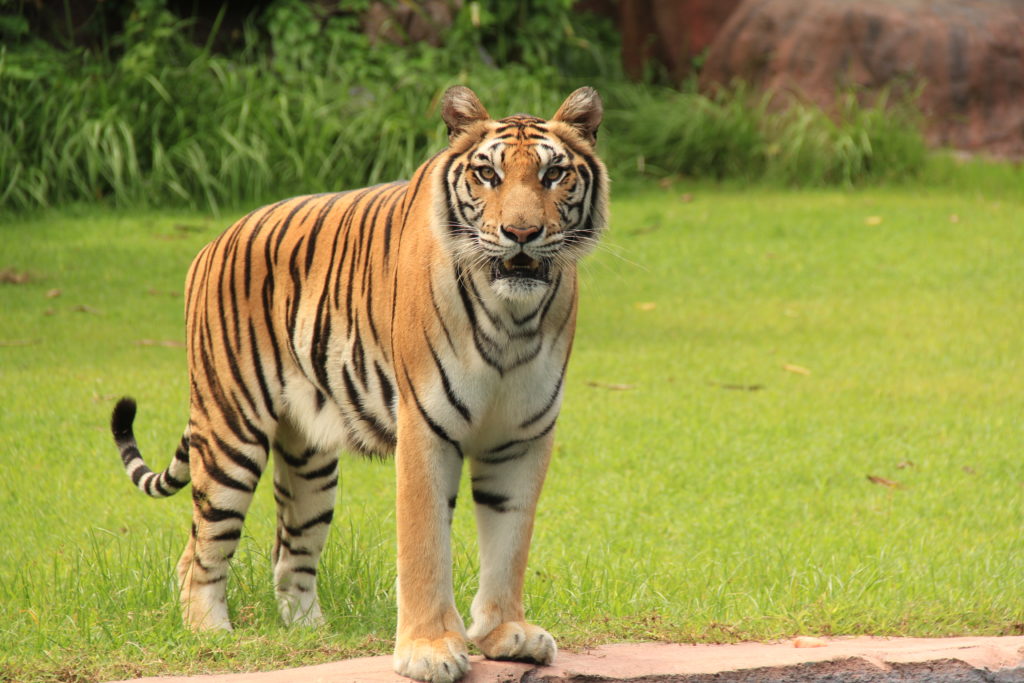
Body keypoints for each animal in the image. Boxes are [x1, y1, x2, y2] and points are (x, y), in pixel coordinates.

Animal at [110, 85, 608, 683]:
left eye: (554, 174)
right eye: (488, 174)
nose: (522, 234)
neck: (513, 317)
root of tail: (213, 243)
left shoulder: (521, 436)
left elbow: (510, 542)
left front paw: (505, 633)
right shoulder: (427, 429)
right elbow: (424, 545)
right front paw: (429, 649)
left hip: (310, 463)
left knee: (289, 555)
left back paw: (311, 634)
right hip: (230, 432)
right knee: (198, 553)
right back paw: (212, 635)